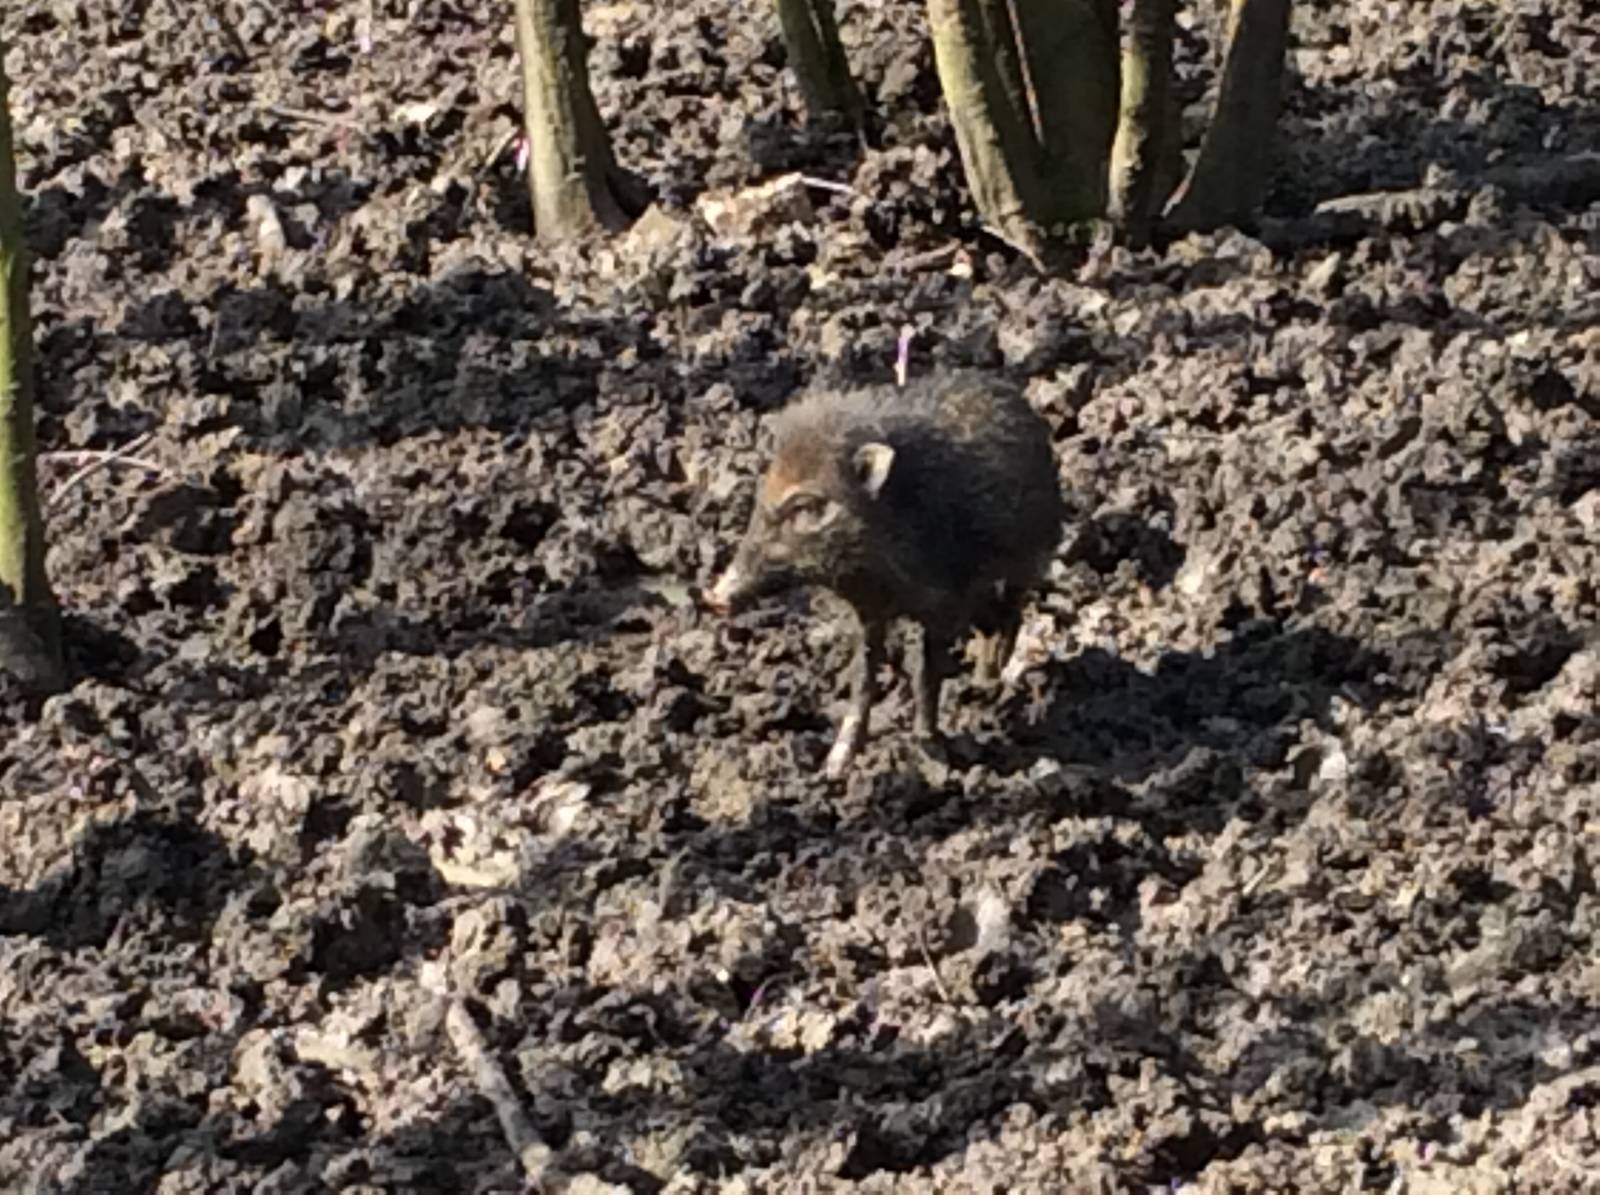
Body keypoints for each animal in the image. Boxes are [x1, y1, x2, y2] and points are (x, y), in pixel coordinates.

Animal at [706, 371, 1064, 777]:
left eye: (805, 506)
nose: (714, 596)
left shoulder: (942, 606)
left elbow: (926, 674)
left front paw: (929, 747)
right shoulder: (868, 612)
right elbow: (862, 678)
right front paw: (836, 765)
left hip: (1029, 557)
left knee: (1012, 614)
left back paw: (992, 683)